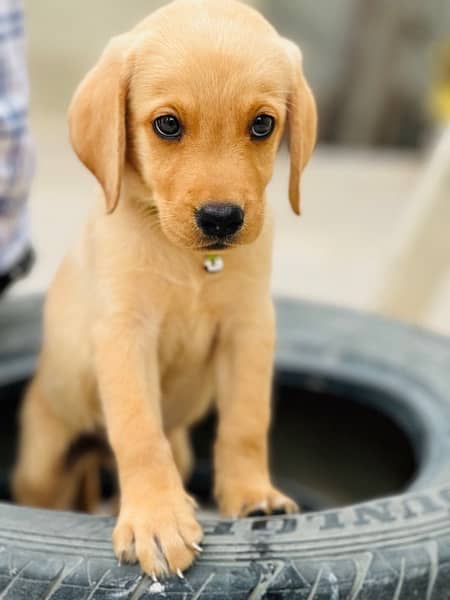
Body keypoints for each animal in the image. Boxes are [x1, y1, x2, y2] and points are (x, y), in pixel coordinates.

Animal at [13, 0, 316, 580]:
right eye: (168, 125)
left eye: (263, 124)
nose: (221, 218)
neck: (195, 265)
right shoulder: (124, 333)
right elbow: (138, 433)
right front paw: (156, 518)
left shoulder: (249, 328)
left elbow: (245, 421)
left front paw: (252, 493)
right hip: (43, 459)